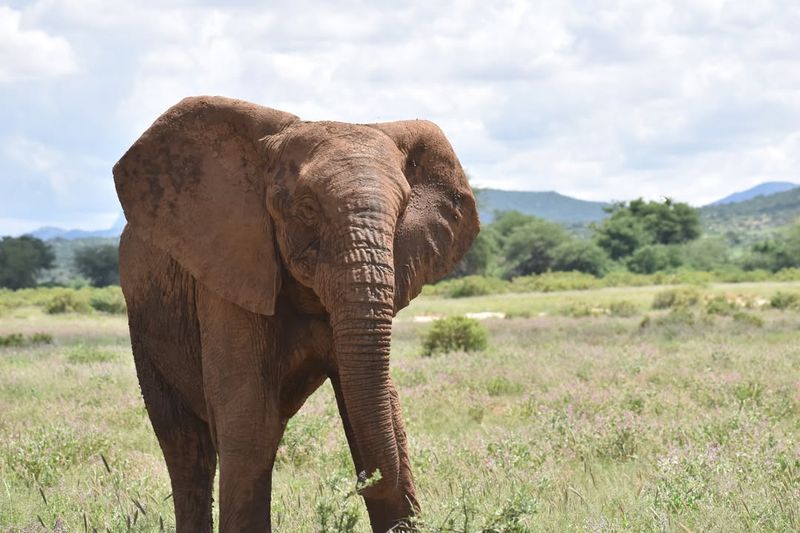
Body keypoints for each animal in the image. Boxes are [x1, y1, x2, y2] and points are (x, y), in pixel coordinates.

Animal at [112, 96, 476, 532]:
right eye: (306, 209)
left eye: (404, 209)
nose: (356, 487)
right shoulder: (229, 275)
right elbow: (250, 421)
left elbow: (379, 410)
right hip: (143, 323)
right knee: (186, 449)